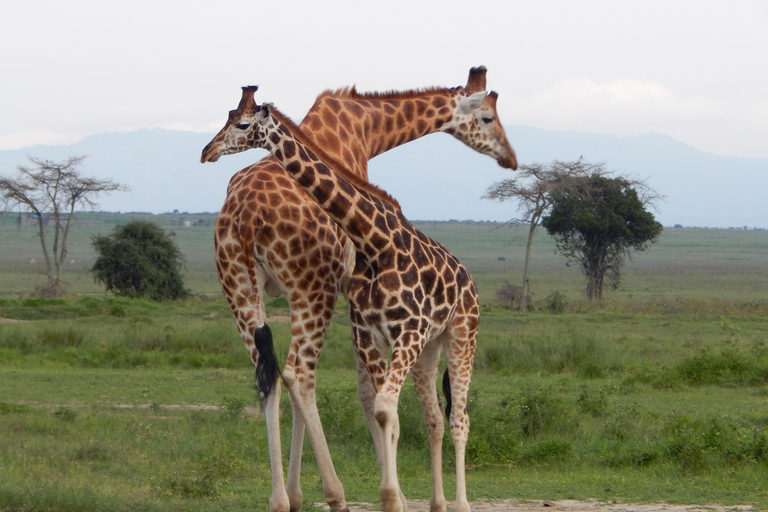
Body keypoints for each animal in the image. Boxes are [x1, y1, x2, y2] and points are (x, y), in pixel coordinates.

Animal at [204, 68, 516, 512]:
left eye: (239, 121)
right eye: (488, 116)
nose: (511, 158)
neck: (366, 129)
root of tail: (245, 214)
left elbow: (374, 397)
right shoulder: (357, 306)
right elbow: (372, 397)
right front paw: (391, 492)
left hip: (241, 290)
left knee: (271, 374)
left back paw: (283, 498)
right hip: (310, 290)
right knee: (300, 374)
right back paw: (332, 493)